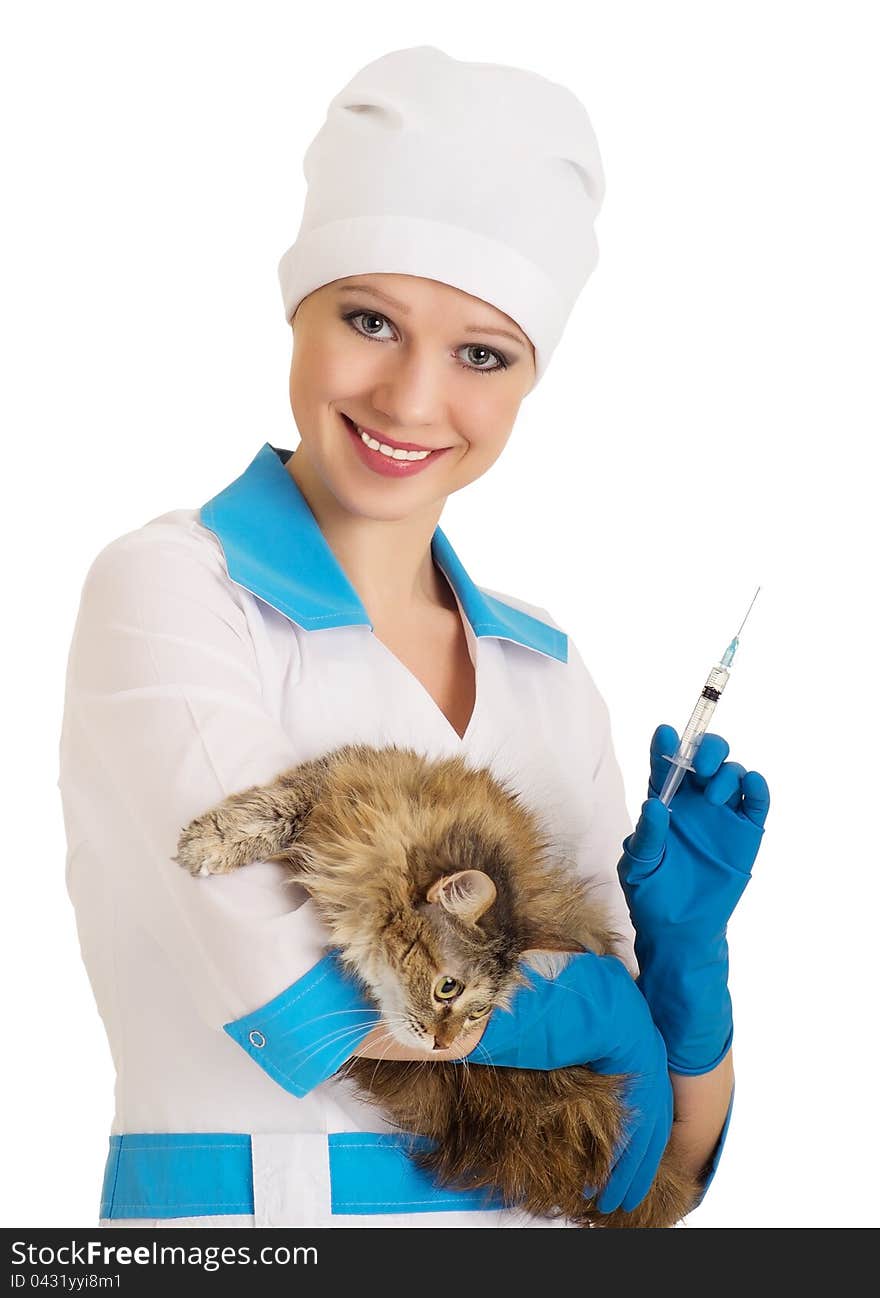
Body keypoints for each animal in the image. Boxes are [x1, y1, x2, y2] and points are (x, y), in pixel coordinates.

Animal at [175, 742, 700, 1225]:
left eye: (478, 1013)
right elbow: (275, 807)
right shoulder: (337, 778)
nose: (442, 1045)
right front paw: (209, 842)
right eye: (447, 988)